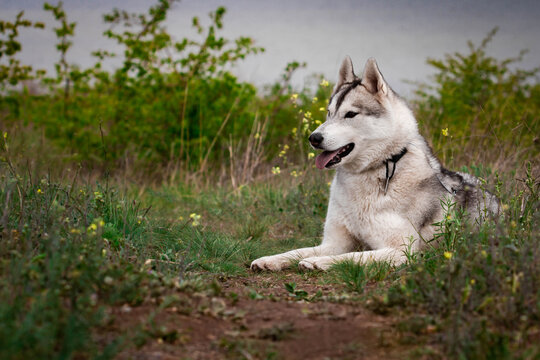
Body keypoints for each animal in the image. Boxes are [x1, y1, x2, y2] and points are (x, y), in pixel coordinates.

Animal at [251, 57, 500, 270]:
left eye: (350, 114)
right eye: (329, 113)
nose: (314, 138)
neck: (375, 169)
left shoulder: (401, 251)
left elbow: (351, 257)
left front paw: (319, 262)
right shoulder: (334, 242)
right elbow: (297, 251)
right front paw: (270, 259)